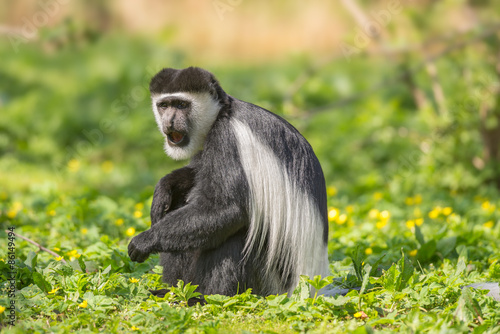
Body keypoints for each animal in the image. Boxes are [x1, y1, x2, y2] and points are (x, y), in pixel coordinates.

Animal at [128, 66, 332, 296]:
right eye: (164, 105)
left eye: (181, 105)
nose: (169, 122)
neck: (222, 112)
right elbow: (197, 172)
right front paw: (164, 186)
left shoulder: (227, 137)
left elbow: (226, 208)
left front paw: (145, 240)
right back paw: (175, 290)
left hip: (269, 280)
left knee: (237, 234)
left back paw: (205, 297)